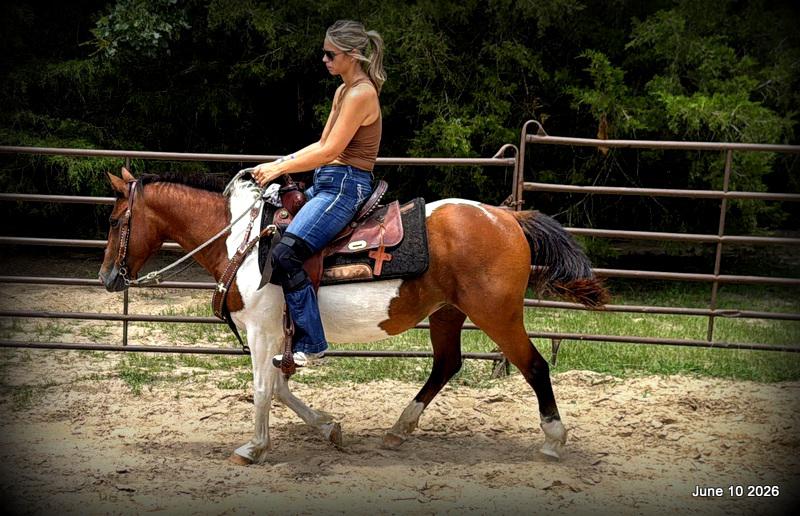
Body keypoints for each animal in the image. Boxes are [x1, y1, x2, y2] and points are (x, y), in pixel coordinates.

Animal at [98, 167, 608, 465]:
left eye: (114, 220)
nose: (106, 277)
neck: (241, 241)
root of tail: (507, 217)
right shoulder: (279, 335)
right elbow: (280, 388)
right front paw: (329, 428)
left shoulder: (263, 331)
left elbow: (263, 389)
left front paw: (255, 448)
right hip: (447, 314)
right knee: (446, 365)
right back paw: (399, 430)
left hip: (497, 314)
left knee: (535, 366)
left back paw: (554, 439)